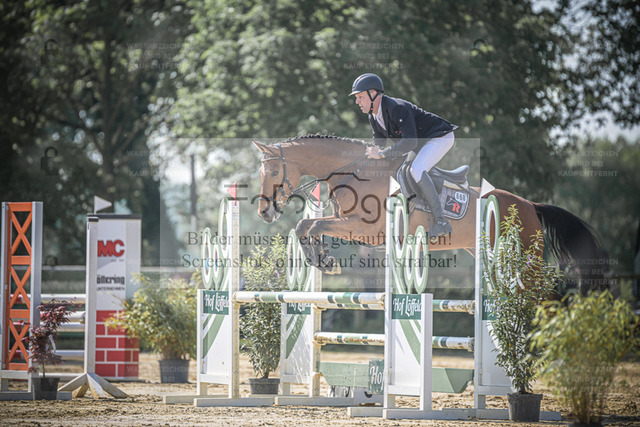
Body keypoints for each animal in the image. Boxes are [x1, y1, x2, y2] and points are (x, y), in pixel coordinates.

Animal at [253, 134, 608, 294]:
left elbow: (309, 224)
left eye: (273, 171)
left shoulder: (364, 229)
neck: (356, 173)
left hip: (524, 258)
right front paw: (323, 258)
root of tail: (531, 206)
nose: (264, 212)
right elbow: (308, 225)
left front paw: (324, 260)